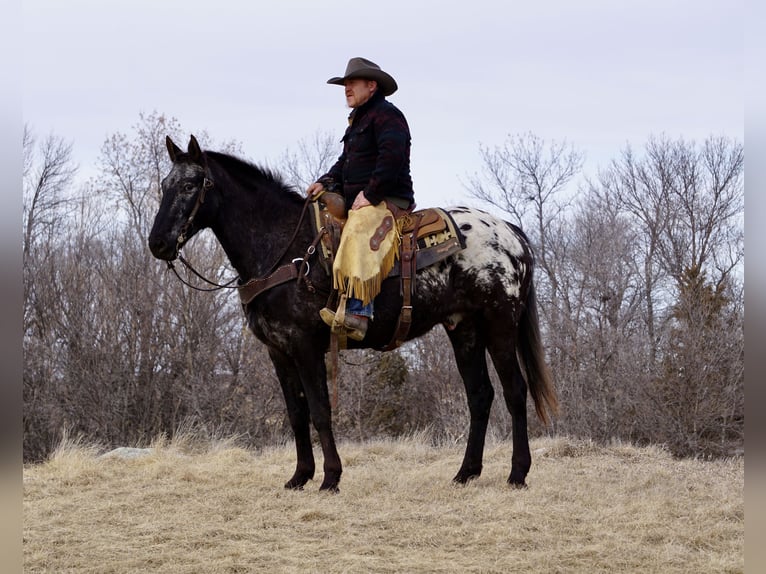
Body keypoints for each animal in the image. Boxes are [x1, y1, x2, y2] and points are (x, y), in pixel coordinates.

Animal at [148, 135, 560, 496]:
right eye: (166, 184)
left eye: (191, 185)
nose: (157, 243)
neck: (285, 249)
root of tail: (512, 235)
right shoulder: (278, 351)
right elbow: (296, 414)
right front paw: (299, 476)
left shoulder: (305, 346)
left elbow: (319, 411)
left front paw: (330, 478)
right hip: (464, 329)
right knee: (480, 395)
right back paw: (465, 473)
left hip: (500, 324)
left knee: (514, 391)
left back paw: (517, 473)